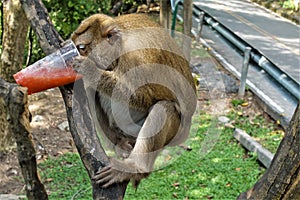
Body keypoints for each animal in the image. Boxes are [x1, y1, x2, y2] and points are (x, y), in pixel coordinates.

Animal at [70, 13, 197, 188]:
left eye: (82, 48)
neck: (120, 45)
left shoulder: (137, 53)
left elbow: (142, 97)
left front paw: (89, 70)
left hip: (175, 133)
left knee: (163, 107)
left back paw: (135, 167)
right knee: (91, 93)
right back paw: (120, 142)